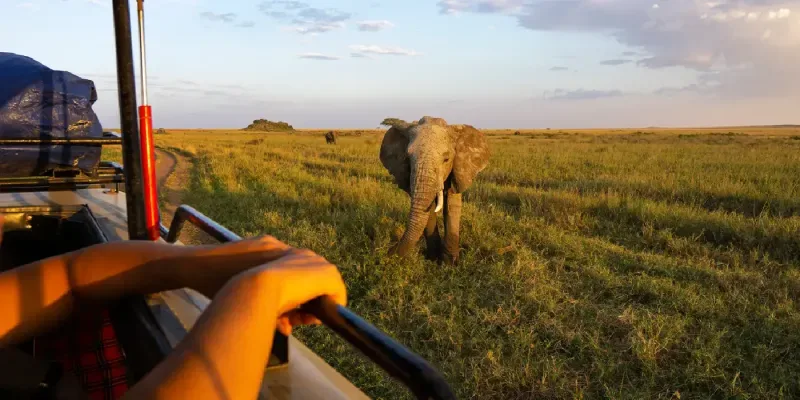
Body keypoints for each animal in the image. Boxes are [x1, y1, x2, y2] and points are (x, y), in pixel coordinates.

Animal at [379, 116, 490, 264]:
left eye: (446, 159)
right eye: (407, 158)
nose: (388, 252)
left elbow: (451, 204)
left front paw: (450, 263)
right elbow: (429, 208)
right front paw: (433, 259)